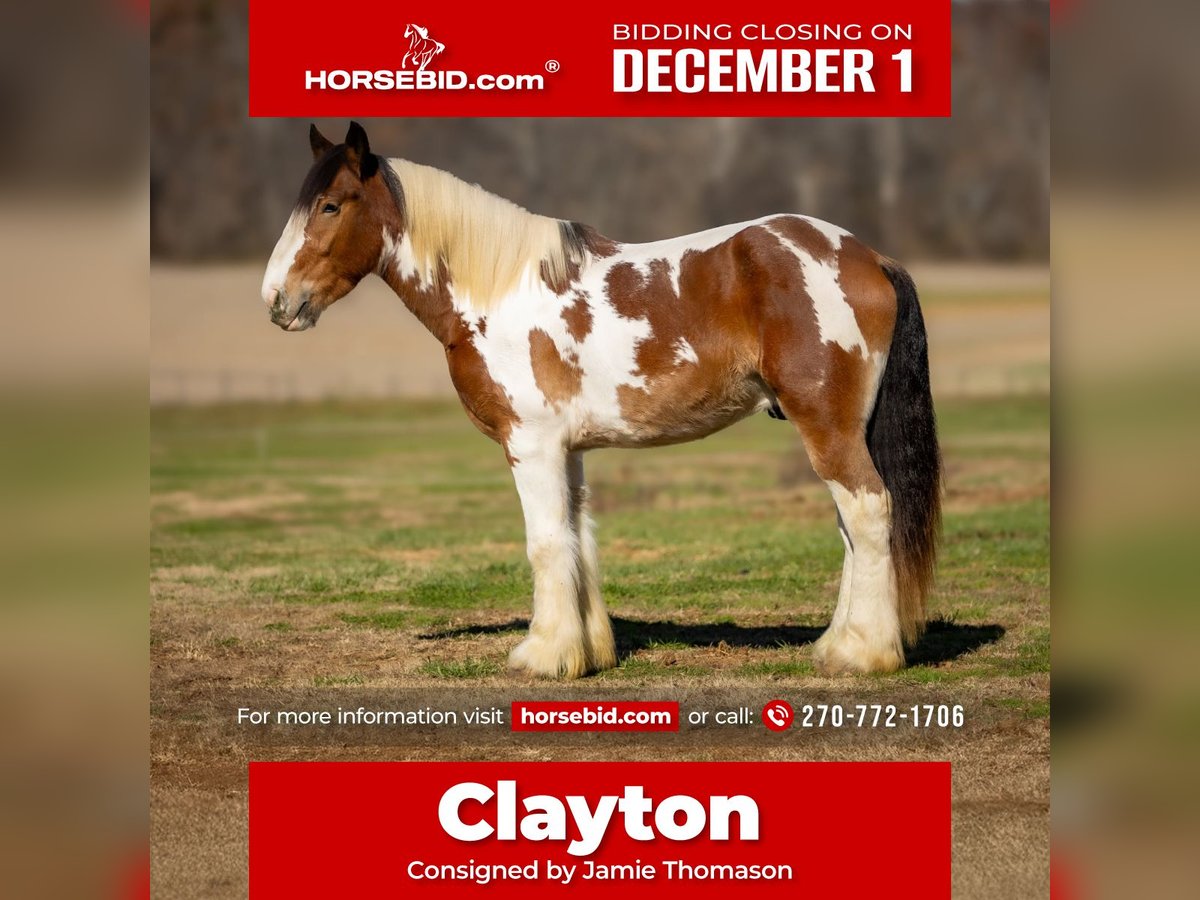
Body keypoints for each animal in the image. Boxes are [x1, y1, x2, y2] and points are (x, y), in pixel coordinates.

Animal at [262, 122, 942, 679]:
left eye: (329, 205)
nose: (276, 300)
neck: (498, 292)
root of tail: (866, 256)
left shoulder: (531, 445)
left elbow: (543, 541)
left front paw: (542, 656)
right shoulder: (568, 450)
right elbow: (575, 536)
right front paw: (585, 651)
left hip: (826, 426)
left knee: (868, 510)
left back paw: (863, 654)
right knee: (853, 525)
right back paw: (835, 644)